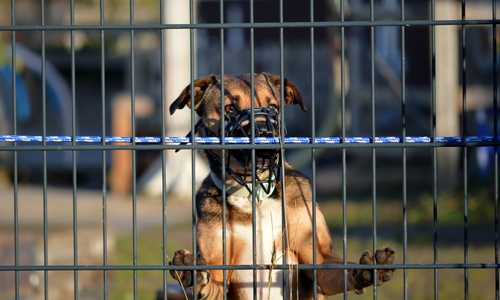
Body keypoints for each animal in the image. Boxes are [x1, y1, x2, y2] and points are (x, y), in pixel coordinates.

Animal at [170, 73, 396, 300]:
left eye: (273, 107)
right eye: (230, 108)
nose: (264, 131)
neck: (255, 192)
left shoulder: (319, 258)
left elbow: (341, 267)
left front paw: (368, 270)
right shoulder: (219, 271)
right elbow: (210, 282)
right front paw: (193, 274)